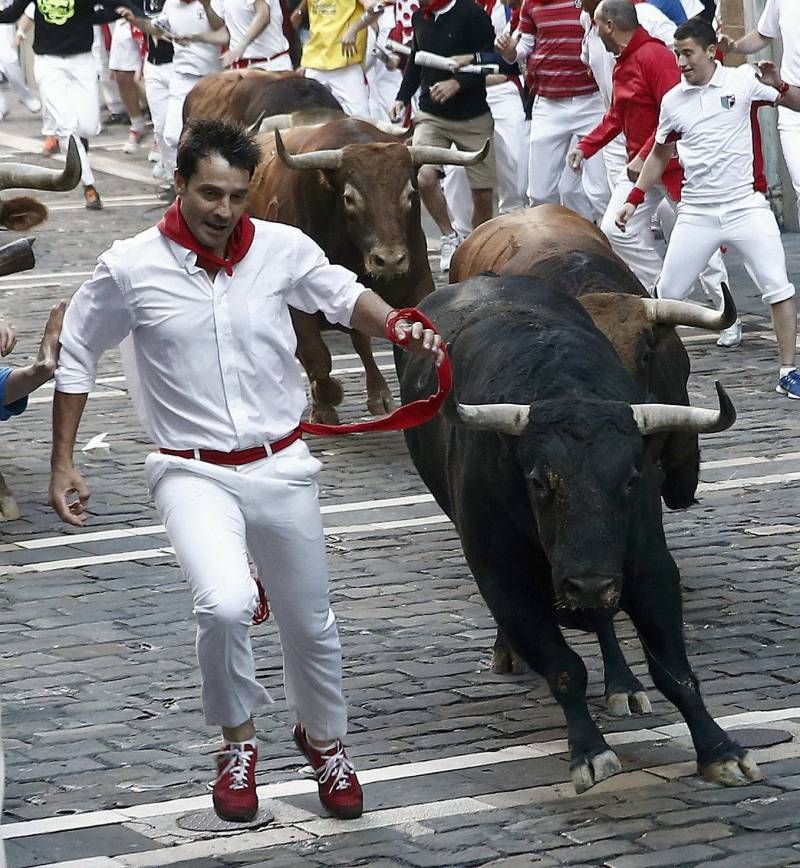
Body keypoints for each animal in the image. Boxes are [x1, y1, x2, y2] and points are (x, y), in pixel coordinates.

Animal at [248, 118, 488, 424]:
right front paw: (326, 402)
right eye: (349, 198)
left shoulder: (417, 285)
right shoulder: (296, 309)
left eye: (410, 194)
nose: (390, 260)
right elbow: (316, 356)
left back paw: (379, 395)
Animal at [400, 276, 764, 792]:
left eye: (631, 479)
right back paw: (508, 651)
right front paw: (590, 750)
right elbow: (564, 669)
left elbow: (674, 671)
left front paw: (721, 750)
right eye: (538, 481)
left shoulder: (649, 567)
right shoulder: (505, 581)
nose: (589, 582)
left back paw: (623, 685)